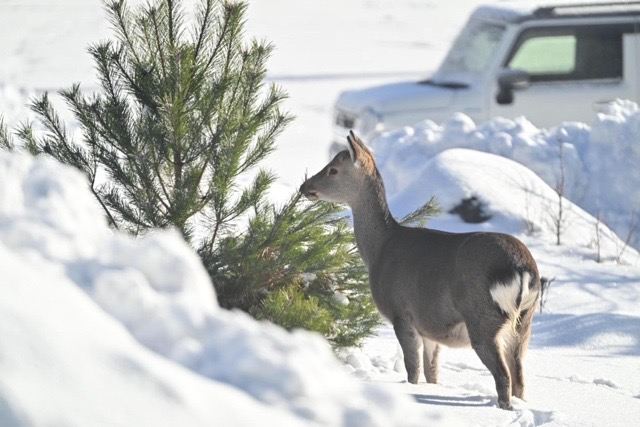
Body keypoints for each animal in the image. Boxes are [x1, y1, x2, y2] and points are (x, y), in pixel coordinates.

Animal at [300, 131, 540, 412]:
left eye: (333, 169)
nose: (304, 187)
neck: (380, 248)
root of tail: (523, 269)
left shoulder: (401, 312)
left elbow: (412, 370)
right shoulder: (430, 327)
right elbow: (431, 372)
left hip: (483, 318)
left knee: (503, 377)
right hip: (524, 322)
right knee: (519, 378)